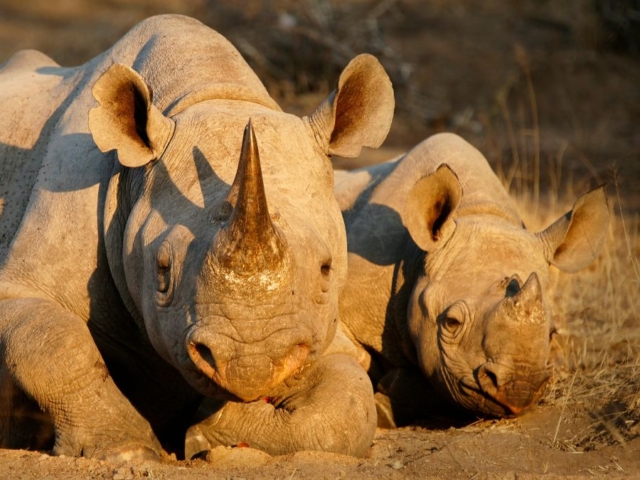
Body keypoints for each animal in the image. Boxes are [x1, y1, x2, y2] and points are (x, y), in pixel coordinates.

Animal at [0, 15, 395, 459]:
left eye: (327, 269)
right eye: (163, 270)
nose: (248, 367)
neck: (208, 93)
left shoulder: (322, 330)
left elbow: (347, 401)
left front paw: (210, 431)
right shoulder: (29, 276)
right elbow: (55, 343)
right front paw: (128, 448)